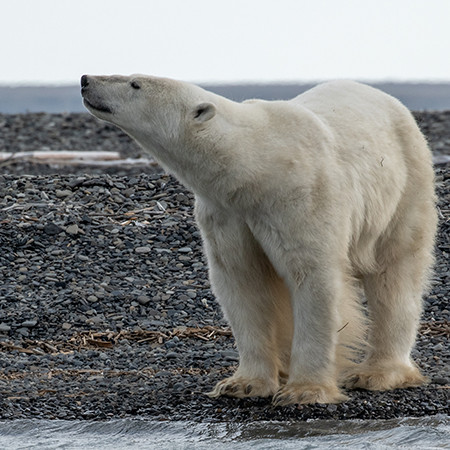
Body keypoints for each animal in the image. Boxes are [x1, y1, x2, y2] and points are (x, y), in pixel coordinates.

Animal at [81, 74, 436, 404]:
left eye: (135, 83)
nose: (86, 80)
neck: (254, 165)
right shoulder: (226, 213)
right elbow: (242, 283)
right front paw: (243, 384)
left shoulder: (301, 197)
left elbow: (314, 278)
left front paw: (304, 391)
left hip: (405, 185)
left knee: (395, 275)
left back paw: (377, 373)